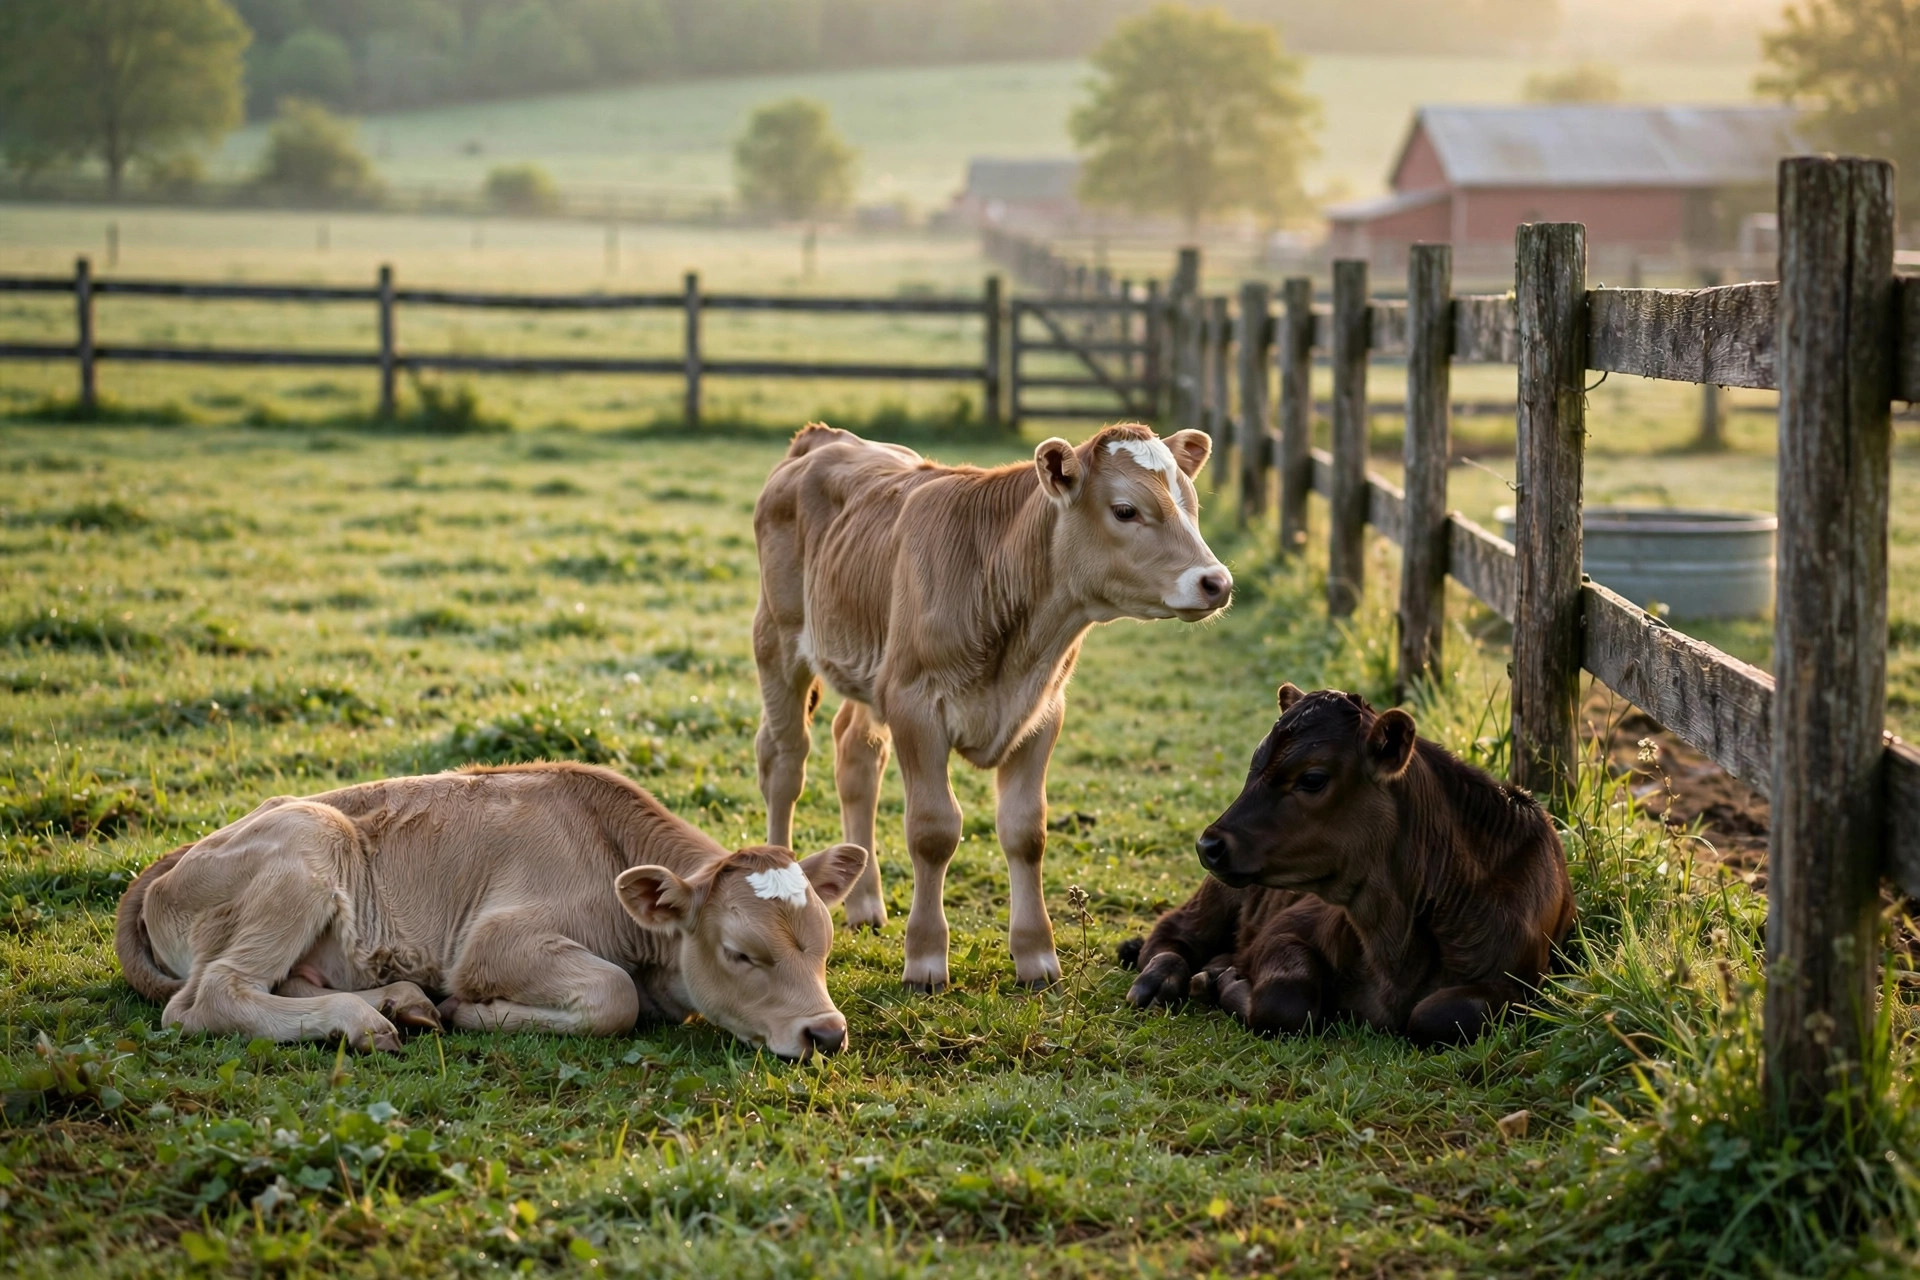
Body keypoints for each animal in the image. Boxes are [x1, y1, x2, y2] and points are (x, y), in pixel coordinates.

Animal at [113, 763, 870, 1060]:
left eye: (824, 946)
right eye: (741, 953)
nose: (826, 1033)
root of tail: (172, 858)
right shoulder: (495, 941)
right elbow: (612, 995)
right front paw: (469, 1011)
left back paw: (400, 1004)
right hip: (305, 846)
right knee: (210, 996)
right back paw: (366, 1022)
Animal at [752, 422, 1232, 991]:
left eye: (1191, 504)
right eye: (1125, 510)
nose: (1216, 582)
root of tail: (823, 437)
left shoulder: (1042, 713)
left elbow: (1026, 831)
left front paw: (1036, 957)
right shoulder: (914, 704)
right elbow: (933, 830)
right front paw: (926, 960)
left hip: (871, 673)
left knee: (856, 759)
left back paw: (866, 903)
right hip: (778, 642)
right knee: (785, 762)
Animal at [1121, 685, 1576, 1045]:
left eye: (1312, 778)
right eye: (1254, 765)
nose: (1208, 844)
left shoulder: (1516, 981)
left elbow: (1440, 1015)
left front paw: (1225, 977)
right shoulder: (1287, 927)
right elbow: (1285, 1000)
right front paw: (1229, 981)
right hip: (1217, 897)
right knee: (1171, 935)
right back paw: (1158, 980)